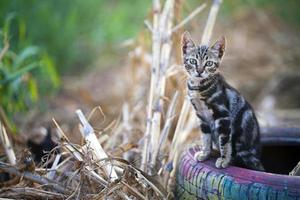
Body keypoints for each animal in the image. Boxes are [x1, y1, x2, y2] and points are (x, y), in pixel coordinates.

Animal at [182, 31, 264, 170]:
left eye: (209, 63)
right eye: (193, 61)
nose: (199, 71)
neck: (198, 87)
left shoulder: (223, 115)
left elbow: (224, 140)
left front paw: (224, 159)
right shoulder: (202, 117)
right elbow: (206, 137)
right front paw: (205, 153)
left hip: (242, 141)